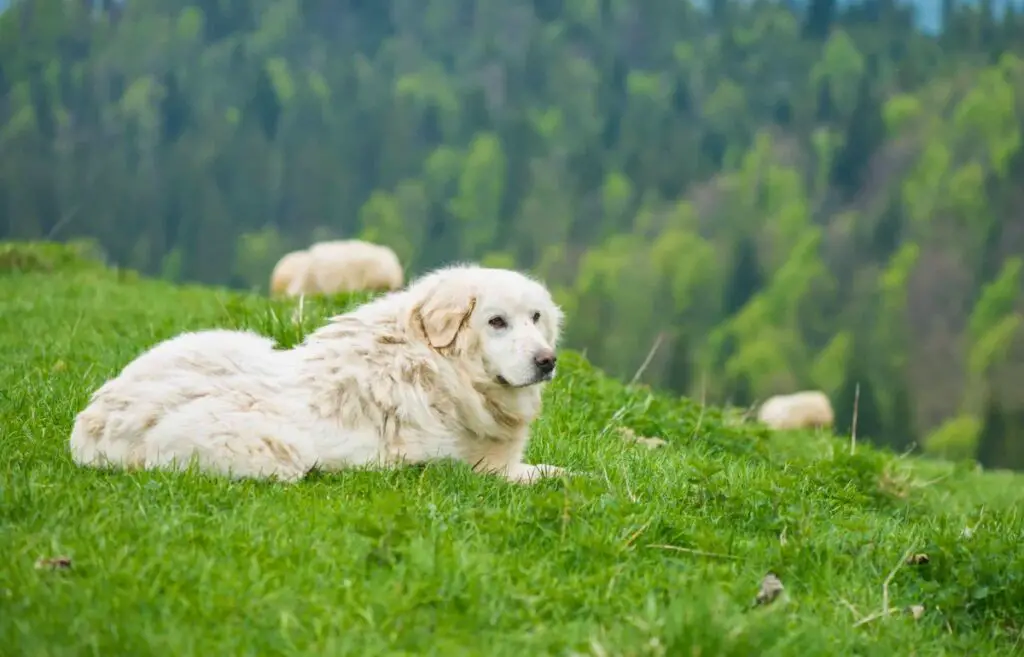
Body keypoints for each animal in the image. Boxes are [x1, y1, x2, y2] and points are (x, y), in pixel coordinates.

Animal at [69, 260, 573, 480]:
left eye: (535, 318)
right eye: (496, 322)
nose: (546, 360)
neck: (440, 366)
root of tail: (92, 425)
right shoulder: (471, 469)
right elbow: (554, 475)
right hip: (276, 451)